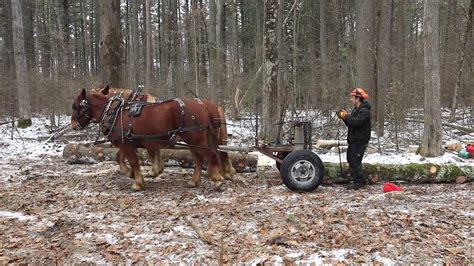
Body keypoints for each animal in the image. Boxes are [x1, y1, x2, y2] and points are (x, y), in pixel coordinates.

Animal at [71, 88, 229, 190]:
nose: (73, 125)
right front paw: (133, 173)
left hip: (195, 139)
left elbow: (134, 162)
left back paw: (218, 180)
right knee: (200, 158)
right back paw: (195, 181)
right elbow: (121, 157)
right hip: (193, 139)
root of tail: (202, 105)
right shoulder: (129, 142)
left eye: (75, 106)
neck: (115, 112)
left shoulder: (126, 144)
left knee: (211, 155)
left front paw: (138, 182)